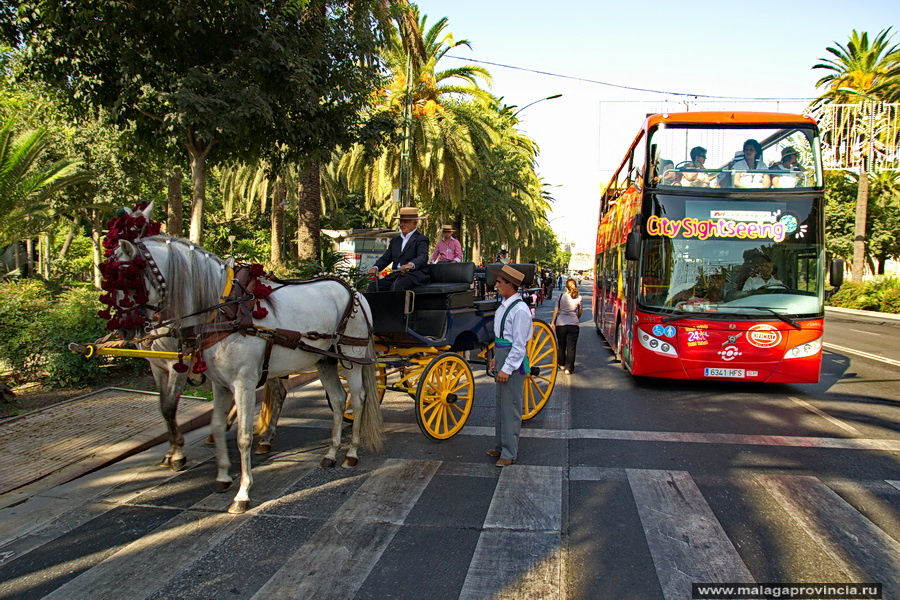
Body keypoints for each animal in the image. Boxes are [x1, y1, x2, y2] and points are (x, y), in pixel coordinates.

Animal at [110, 210, 382, 510]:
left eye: (128, 276)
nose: (123, 329)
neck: (223, 311)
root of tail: (355, 292)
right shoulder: (219, 384)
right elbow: (217, 427)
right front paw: (222, 477)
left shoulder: (242, 382)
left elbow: (243, 436)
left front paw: (242, 492)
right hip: (324, 361)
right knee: (337, 399)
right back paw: (331, 453)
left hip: (351, 357)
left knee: (358, 398)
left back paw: (351, 452)